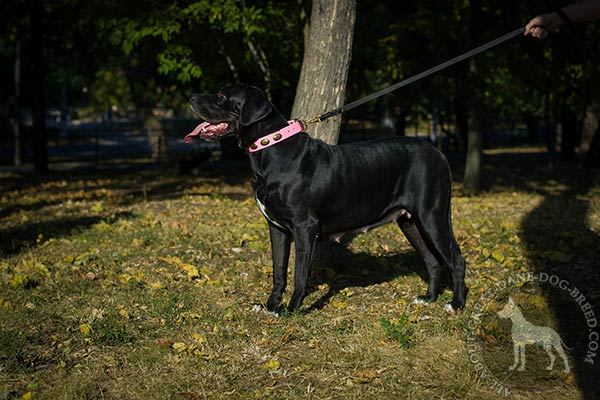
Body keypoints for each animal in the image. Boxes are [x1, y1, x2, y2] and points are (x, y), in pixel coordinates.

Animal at [190, 83, 466, 312]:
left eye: (222, 95)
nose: (191, 97)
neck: (270, 148)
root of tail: (439, 153)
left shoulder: (304, 227)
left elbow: (300, 273)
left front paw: (291, 309)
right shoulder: (276, 227)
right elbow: (279, 269)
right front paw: (270, 306)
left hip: (431, 215)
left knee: (456, 260)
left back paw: (456, 305)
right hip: (409, 222)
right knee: (432, 260)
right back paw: (428, 298)